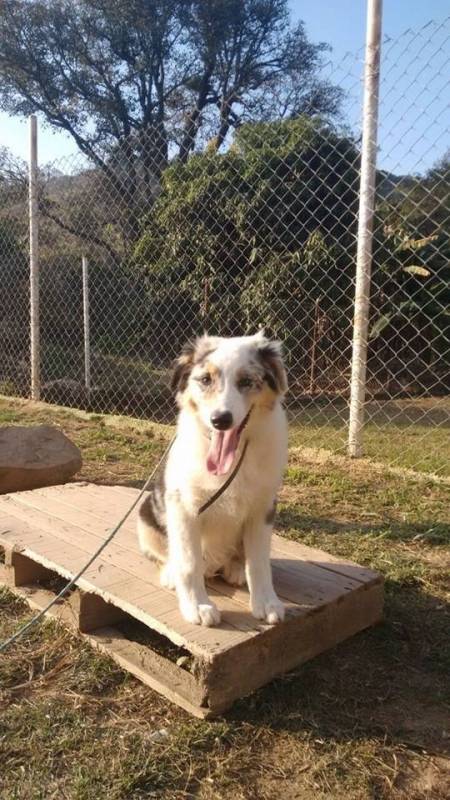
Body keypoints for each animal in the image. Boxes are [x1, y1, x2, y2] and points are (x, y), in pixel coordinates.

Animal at [137, 330, 290, 624]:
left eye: (246, 381)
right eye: (205, 380)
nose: (221, 420)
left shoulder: (263, 508)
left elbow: (259, 562)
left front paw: (266, 602)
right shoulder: (184, 506)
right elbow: (189, 561)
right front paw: (197, 606)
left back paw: (236, 569)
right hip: (146, 514)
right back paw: (171, 573)